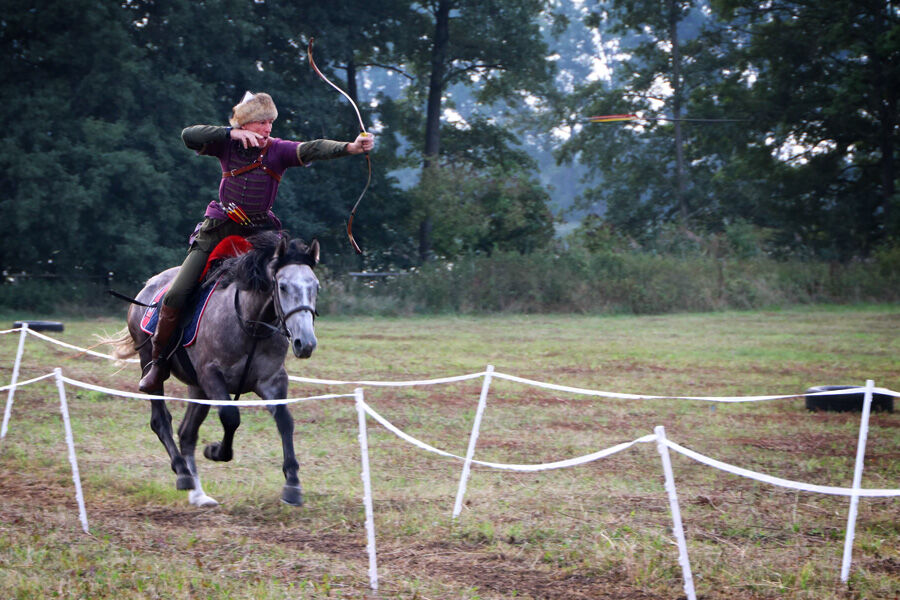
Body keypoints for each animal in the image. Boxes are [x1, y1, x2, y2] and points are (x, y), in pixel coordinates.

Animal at [108, 230, 320, 506]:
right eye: (282, 287)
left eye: (315, 287)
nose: (305, 343)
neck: (250, 323)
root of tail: (146, 289)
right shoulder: (212, 376)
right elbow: (230, 417)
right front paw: (215, 451)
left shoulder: (271, 380)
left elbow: (285, 421)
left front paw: (292, 484)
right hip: (151, 366)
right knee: (160, 420)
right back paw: (183, 473)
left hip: (198, 388)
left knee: (187, 433)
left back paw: (198, 494)